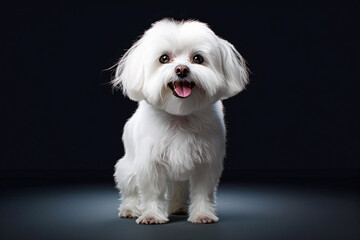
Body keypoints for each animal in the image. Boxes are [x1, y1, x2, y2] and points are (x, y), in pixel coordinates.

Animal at [112, 17, 248, 224]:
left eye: (198, 58)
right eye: (164, 58)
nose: (181, 69)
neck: (180, 115)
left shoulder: (206, 163)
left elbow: (203, 192)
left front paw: (202, 215)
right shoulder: (150, 164)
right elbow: (153, 192)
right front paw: (152, 215)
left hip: (178, 178)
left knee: (178, 189)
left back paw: (178, 207)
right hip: (127, 168)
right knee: (131, 191)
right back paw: (130, 209)